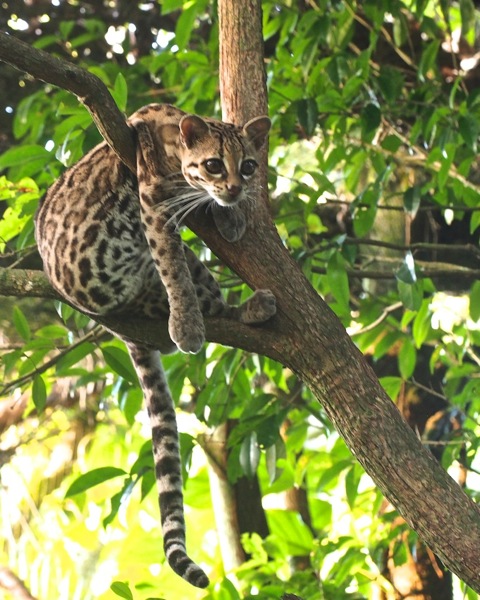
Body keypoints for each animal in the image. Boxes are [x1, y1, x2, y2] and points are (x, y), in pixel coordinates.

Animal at [35, 102, 276, 584]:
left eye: (248, 166)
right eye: (214, 164)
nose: (235, 189)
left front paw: (232, 219)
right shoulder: (153, 203)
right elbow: (173, 270)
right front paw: (186, 326)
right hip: (135, 285)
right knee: (181, 286)